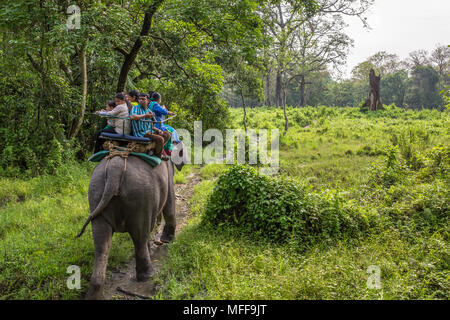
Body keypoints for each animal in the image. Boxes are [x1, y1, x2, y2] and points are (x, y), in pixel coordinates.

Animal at [76, 147, 184, 300]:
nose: (158, 223)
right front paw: (168, 241)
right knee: (140, 236)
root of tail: (114, 170)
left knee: (101, 244)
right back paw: (148, 276)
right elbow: (169, 203)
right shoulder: (168, 175)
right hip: (140, 196)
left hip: (96, 192)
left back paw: (94, 295)